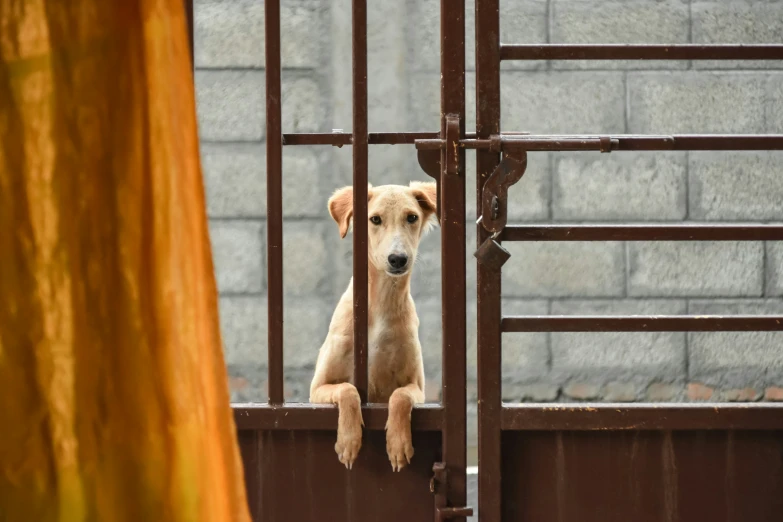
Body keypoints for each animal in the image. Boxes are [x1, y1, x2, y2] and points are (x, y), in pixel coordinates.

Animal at [310, 181, 438, 470]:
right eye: (375, 219)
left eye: (412, 217)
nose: (398, 259)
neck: (380, 303)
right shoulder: (317, 389)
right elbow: (347, 389)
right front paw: (349, 440)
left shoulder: (418, 388)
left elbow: (400, 396)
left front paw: (398, 443)